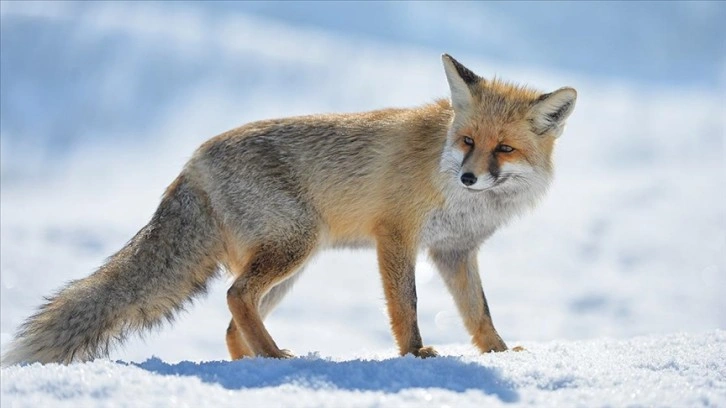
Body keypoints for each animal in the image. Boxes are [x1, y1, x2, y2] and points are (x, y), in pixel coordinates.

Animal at [2, 55, 576, 366]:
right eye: (468, 141)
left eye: (504, 149)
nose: (468, 178)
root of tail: (192, 162)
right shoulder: (395, 236)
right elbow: (407, 308)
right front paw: (414, 356)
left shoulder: (454, 252)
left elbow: (479, 313)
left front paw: (501, 353)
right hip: (295, 246)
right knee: (235, 298)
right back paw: (275, 358)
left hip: (289, 268)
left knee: (232, 323)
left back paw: (256, 370)